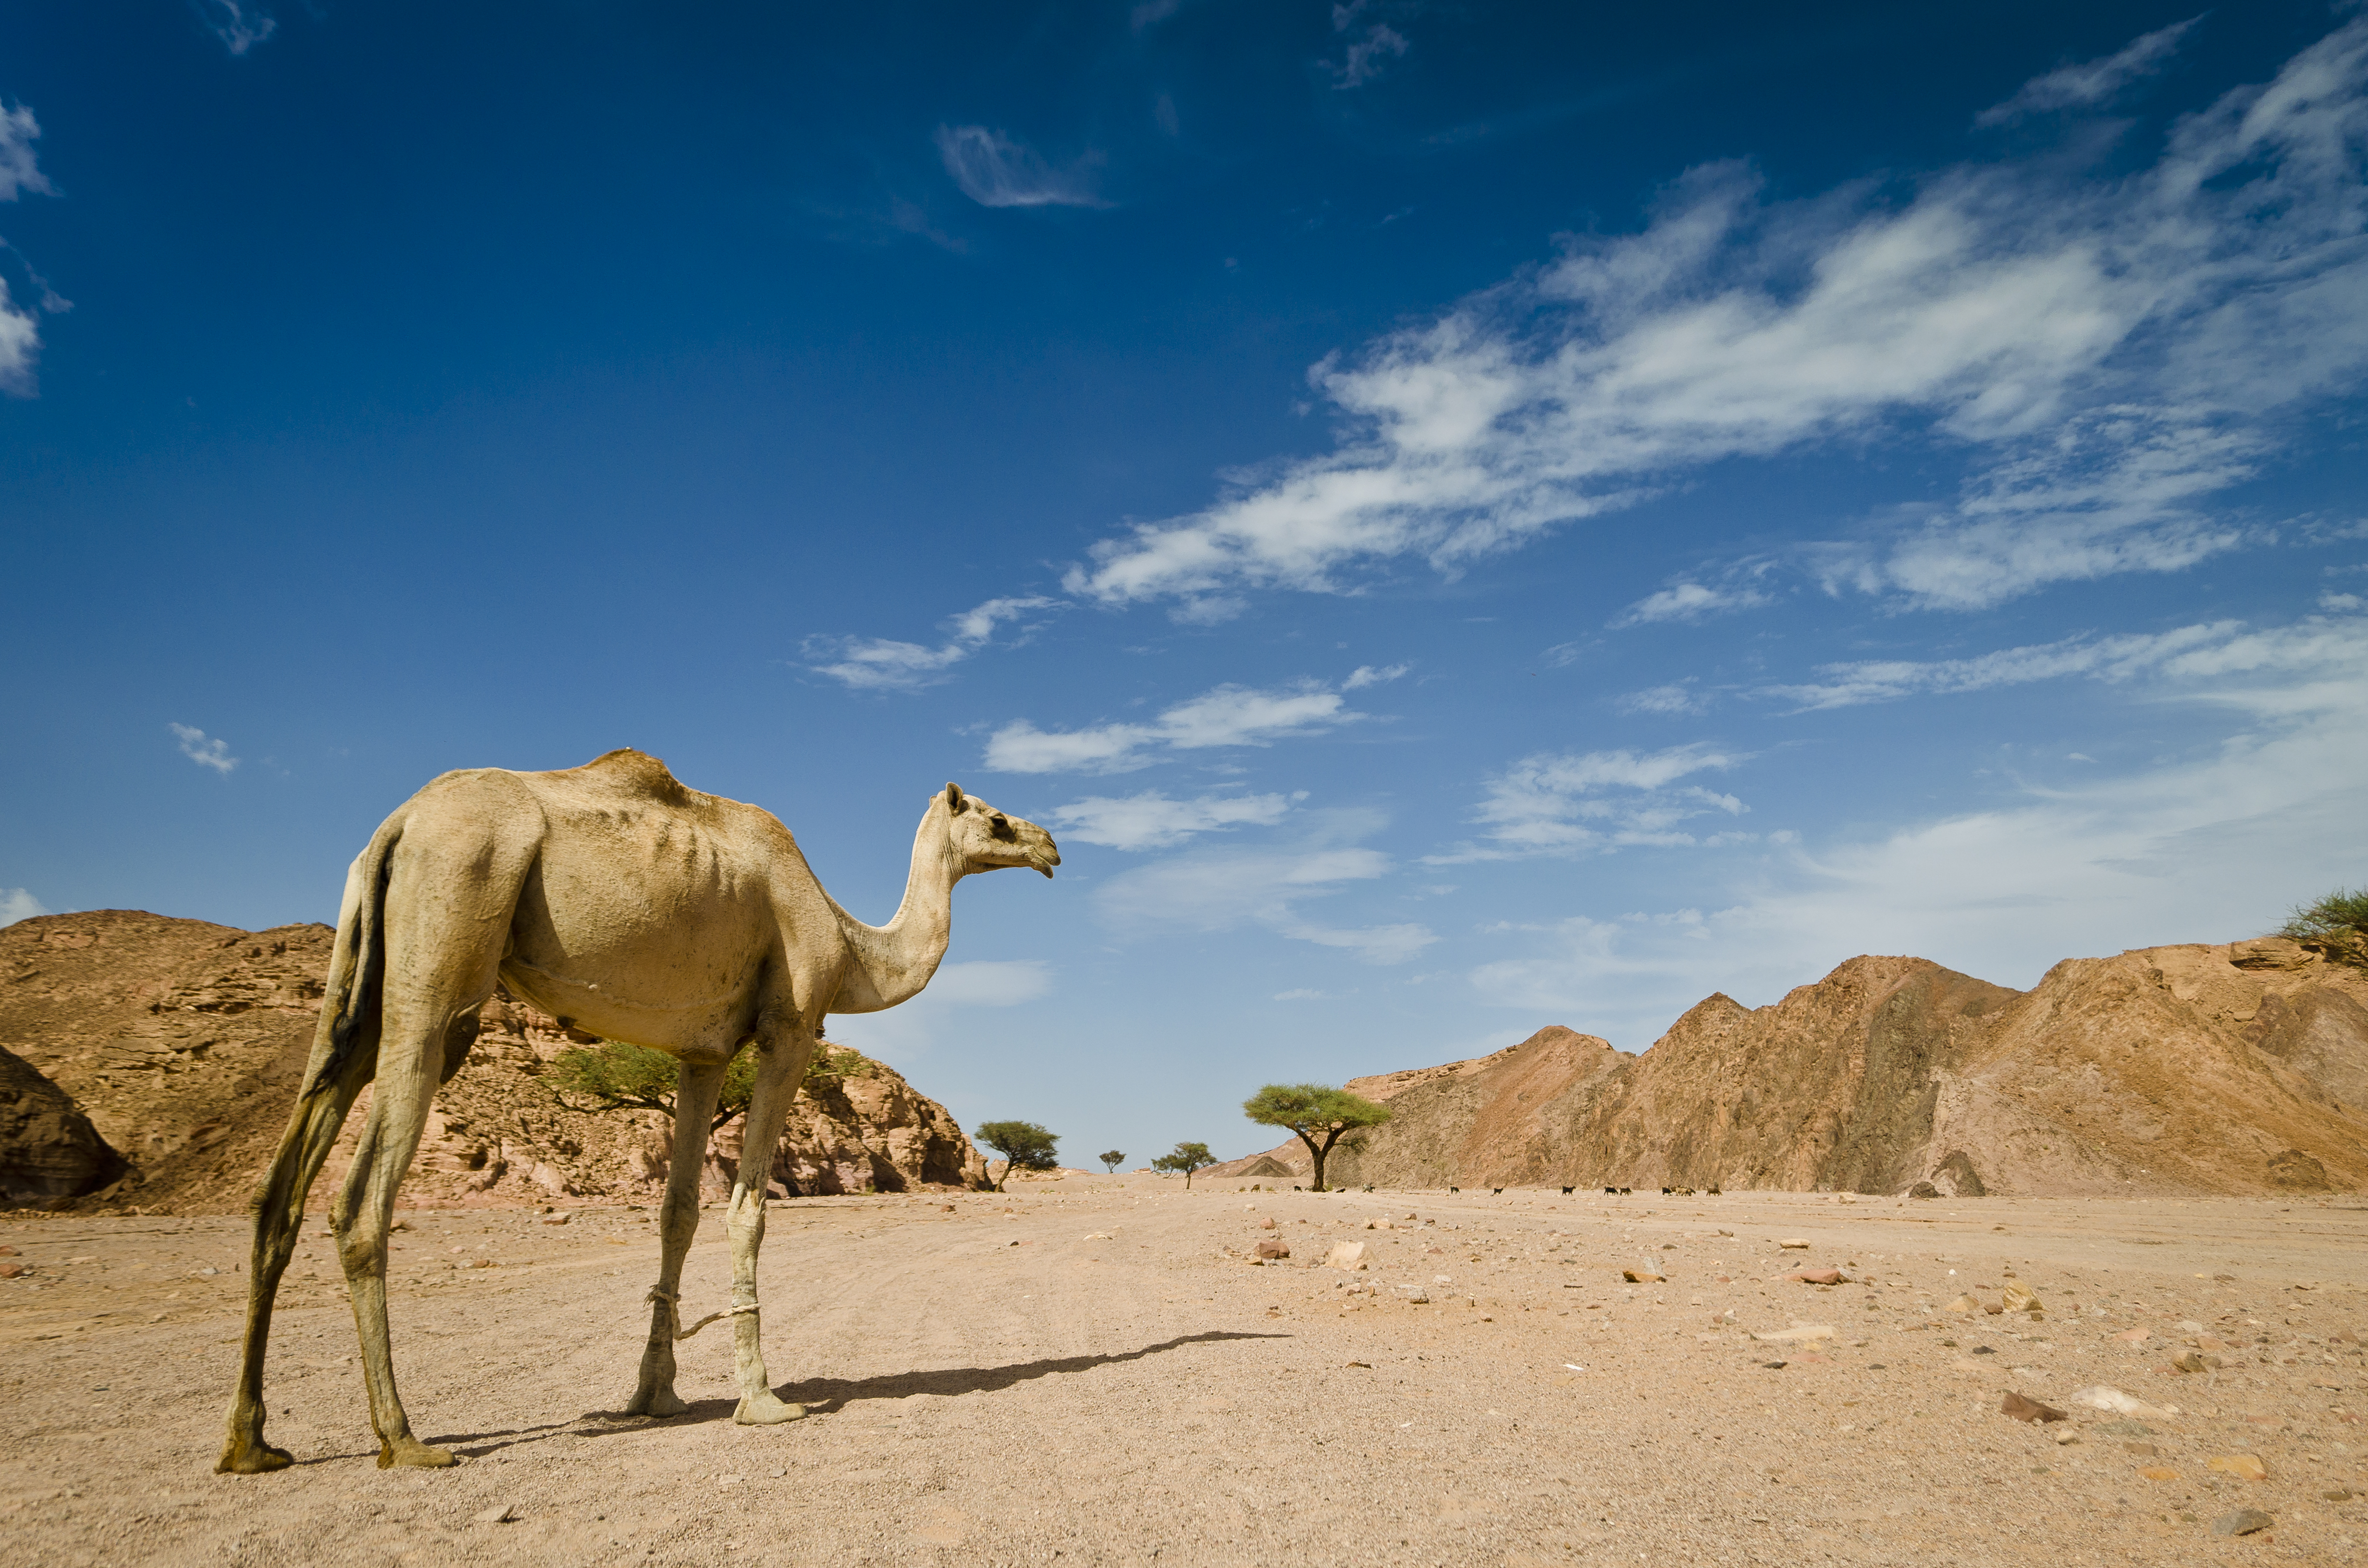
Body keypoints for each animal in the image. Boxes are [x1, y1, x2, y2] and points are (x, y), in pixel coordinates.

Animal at [220, 748, 1056, 1478]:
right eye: (996, 817)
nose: (1050, 846)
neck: (852, 947)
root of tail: (396, 827)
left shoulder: (703, 1053)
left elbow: (678, 1212)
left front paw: (656, 1394)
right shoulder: (788, 1028)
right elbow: (748, 1210)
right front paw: (762, 1399)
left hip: (357, 977)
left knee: (280, 1190)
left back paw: (251, 1444)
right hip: (448, 939)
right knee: (363, 1197)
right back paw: (403, 1438)